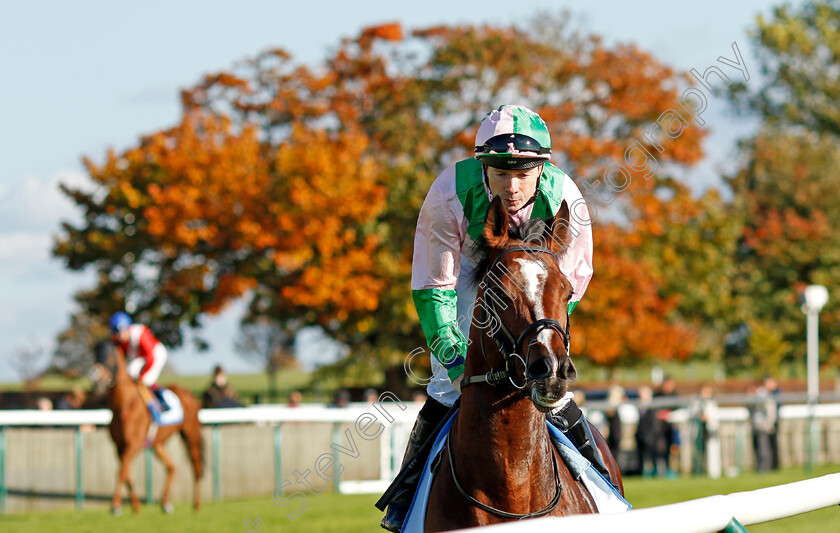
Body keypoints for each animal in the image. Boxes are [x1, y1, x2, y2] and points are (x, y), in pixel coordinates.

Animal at [94, 340, 206, 512]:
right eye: (95, 355)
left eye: (110, 356)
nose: (96, 379)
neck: (124, 404)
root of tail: (191, 395)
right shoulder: (119, 446)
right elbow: (126, 472)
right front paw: (135, 506)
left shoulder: (134, 444)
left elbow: (121, 471)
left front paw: (115, 505)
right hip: (157, 443)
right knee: (172, 467)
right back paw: (165, 503)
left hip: (191, 433)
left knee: (196, 465)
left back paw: (197, 504)